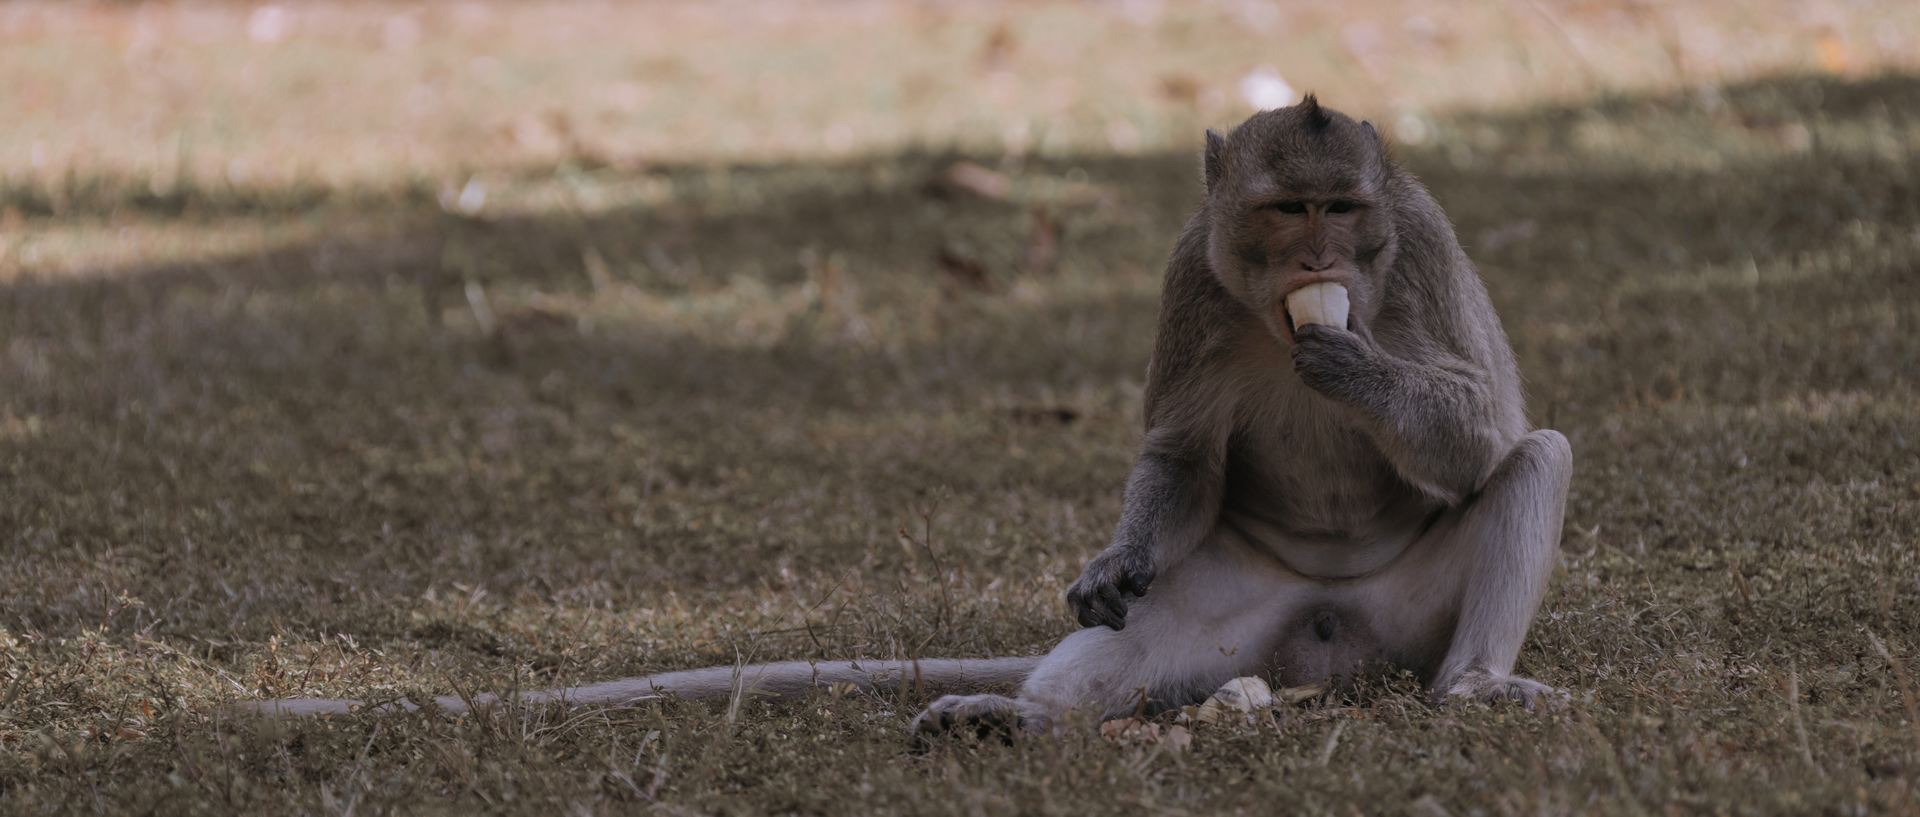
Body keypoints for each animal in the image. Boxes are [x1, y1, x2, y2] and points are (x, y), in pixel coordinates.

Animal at [243, 97, 1559, 740]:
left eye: (1345, 209)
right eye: (1289, 210)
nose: (1324, 261)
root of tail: (1332, 638)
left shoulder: (1419, 249)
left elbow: (1487, 433)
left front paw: (1348, 363)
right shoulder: (1190, 275)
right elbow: (1181, 455)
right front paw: (1116, 557)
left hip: (1409, 620)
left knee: (1533, 460)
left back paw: (1471, 689)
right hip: (1238, 612)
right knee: (1135, 651)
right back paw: (1016, 720)